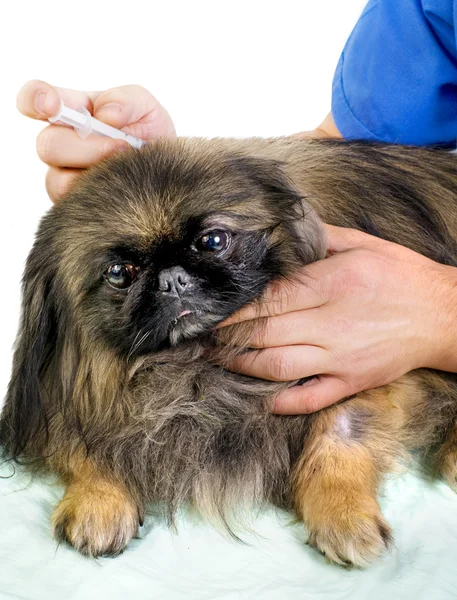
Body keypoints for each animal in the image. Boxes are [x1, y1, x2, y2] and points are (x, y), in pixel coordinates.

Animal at [2, 137, 456, 568]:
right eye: (119, 274)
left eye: (213, 240)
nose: (172, 279)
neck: (191, 364)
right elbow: (85, 437)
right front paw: (98, 498)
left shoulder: (363, 370)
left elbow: (341, 432)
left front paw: (343, 514)